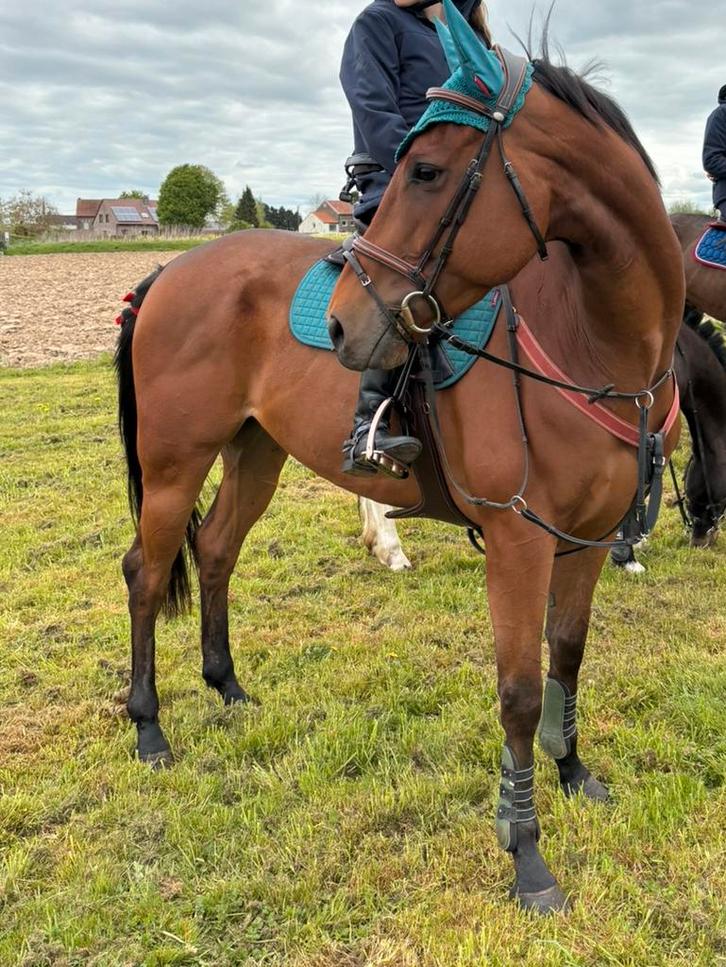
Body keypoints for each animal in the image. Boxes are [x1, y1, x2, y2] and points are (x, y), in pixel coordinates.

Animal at [115, 8, 683, 913]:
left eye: (429, 169)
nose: (344, 326)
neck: (590, 337)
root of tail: (170, 268)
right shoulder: (519, 541)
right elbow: (519, 690)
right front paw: (527, 854)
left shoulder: (588, 540)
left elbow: (567, 654)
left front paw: (573, 770)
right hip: (175, 463)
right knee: (145, 569)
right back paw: (149, 726)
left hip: (256, 454)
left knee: (216, 550)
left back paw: (227, 685)